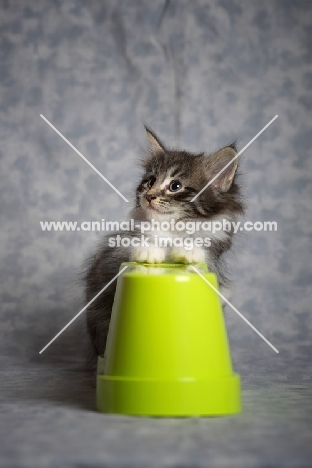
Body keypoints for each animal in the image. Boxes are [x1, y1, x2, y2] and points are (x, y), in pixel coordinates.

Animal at [84, 127, 245, 366]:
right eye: (150, 181)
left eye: (175, 186)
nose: (149, 196)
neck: (171, 228)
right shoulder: (116, 251)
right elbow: (131, 245)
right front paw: (149, 249)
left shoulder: (215, 251)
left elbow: (202, 250)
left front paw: (188, 249)